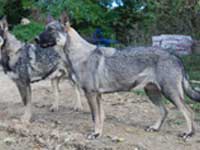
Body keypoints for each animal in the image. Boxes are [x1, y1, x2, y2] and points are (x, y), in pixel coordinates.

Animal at [36, 13, 200, 140]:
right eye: (45, 29)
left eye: (51, 30)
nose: (35, 39)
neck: (79, 54)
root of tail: (175, 56)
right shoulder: (97, 96)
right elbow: (100, 117)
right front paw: (99, 133)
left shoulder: (90, 94)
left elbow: (95, 117)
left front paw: (95, 134)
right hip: (152, 92)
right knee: (164, 111)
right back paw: (155, 128)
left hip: (170, 93)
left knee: (188, 112)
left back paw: (189, 133)